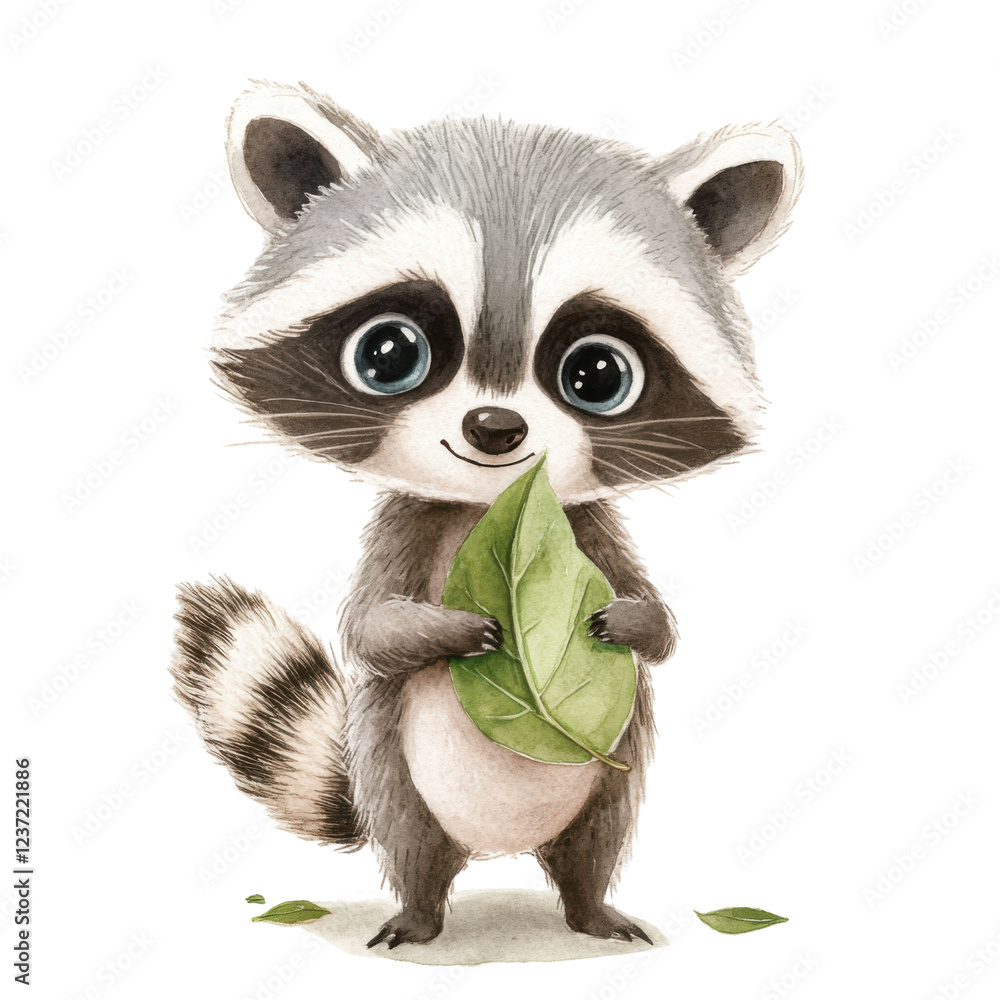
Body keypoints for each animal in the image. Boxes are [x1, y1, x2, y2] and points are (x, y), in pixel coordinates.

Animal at [171, 81, 802, 949]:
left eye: (597, 373)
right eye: (389, 353)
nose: (495, 429)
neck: (493, 506)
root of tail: (497, 849)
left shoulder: (589, 526)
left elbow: (660, 626)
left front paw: (635, 620)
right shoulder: (408, 522)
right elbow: (370, 626)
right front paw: (449, 629)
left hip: (610, 772)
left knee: (598, 838)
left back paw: (588, 906)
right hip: (392, 770)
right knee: (411, 841)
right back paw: (420, 910)